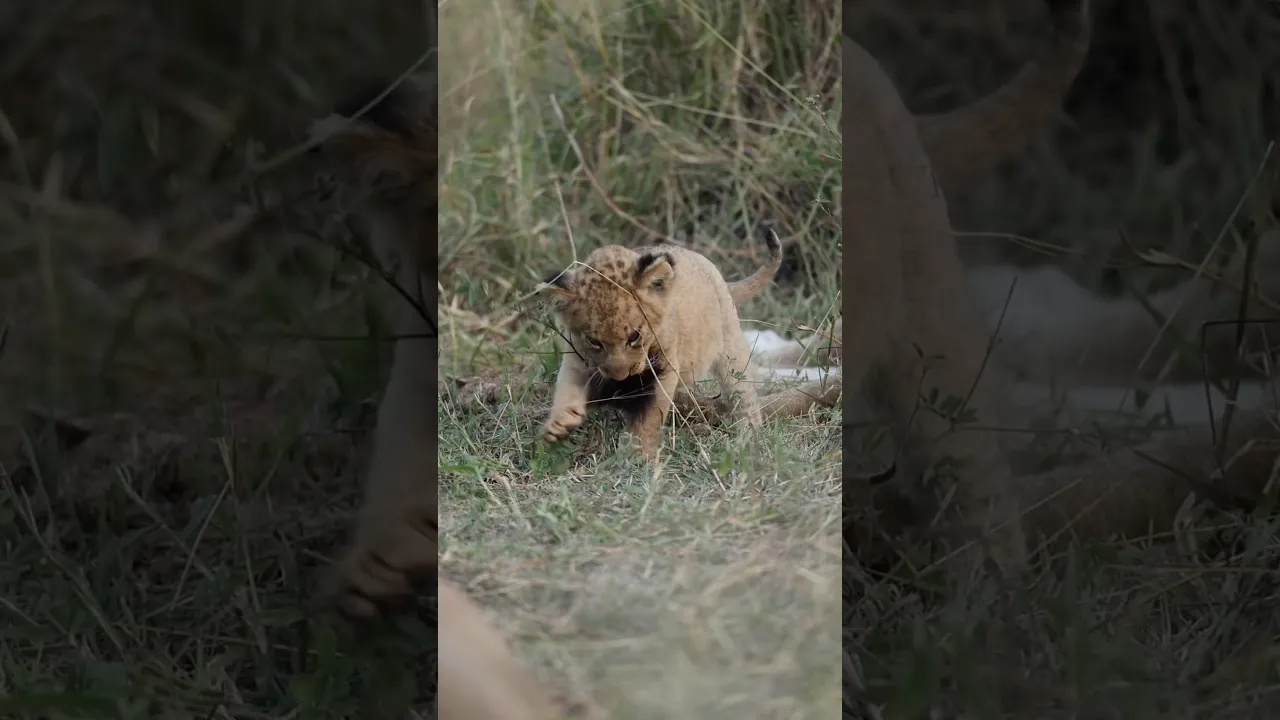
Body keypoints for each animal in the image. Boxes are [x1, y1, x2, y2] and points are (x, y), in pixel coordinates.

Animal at [536, 232, 781, 458]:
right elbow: (567, 390)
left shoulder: (663, 368)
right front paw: (559, 425)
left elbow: (649, 416)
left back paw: (750, 439)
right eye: (594, 341)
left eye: (634, 337)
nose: (620, 376)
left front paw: (637, 457)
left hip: (731, 352)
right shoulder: (577, 360)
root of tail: (709, 266)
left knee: (744, 394)